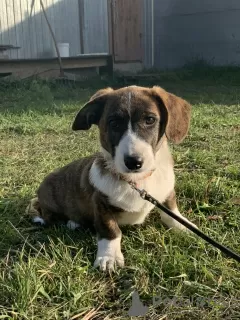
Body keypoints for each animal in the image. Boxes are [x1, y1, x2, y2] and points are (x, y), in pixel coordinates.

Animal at [27, 85, 197, 270]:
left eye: (150, 120)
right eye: (114, 123)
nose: (134, 162)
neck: (136, 181)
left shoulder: (166, 193)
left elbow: (171, 212)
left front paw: (184, 226)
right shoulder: (100, 203)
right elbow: (111, 230)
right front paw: (109, 256)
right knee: (50, 216)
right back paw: (73, 222)